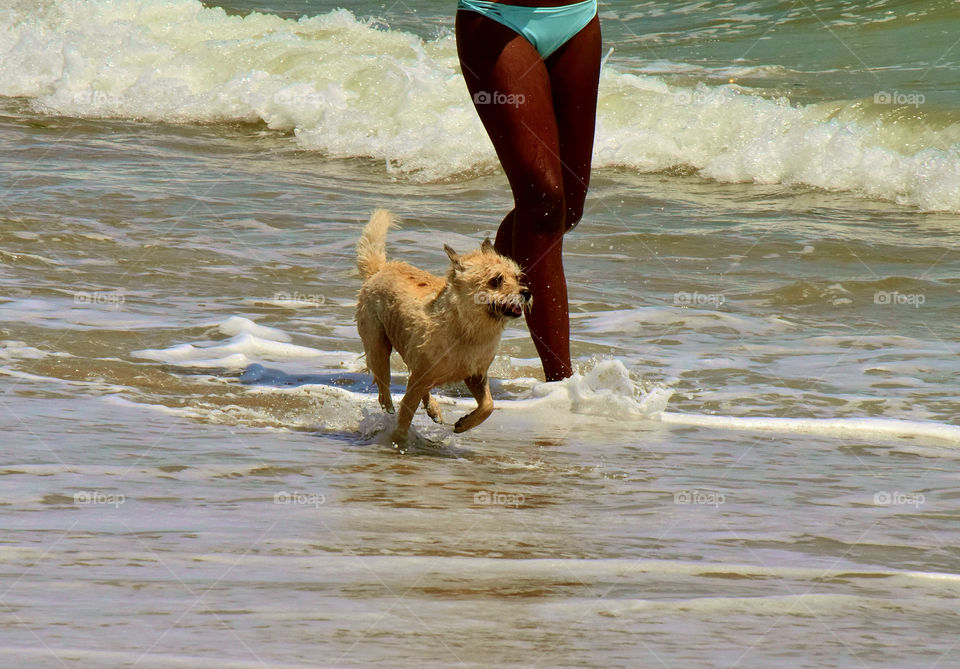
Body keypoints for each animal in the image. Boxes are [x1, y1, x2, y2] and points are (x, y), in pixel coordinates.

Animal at [356, 209, 532, 444]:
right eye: (496, 280)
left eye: (517, 277)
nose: (527, 292)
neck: (468, 329)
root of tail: (380, 269)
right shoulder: (419, 379)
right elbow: (404, 417)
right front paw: (399, 442)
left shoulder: (476, 376)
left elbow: (488, 405)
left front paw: (464, 424)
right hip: (378, 346)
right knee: (384, 386)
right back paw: (391, 407)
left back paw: (433, 409)